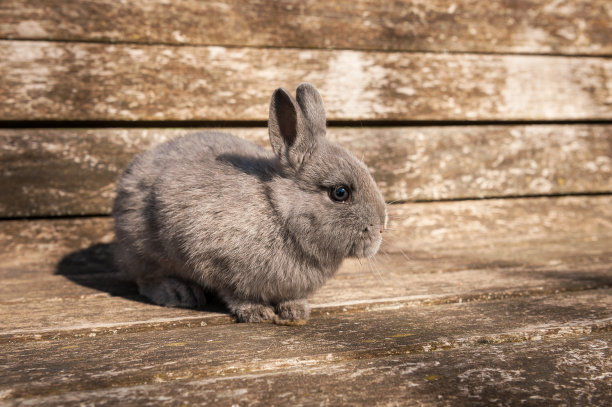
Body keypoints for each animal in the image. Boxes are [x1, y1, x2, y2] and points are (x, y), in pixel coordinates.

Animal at [112, 83, 384, 326]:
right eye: (340, 192)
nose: (381, 229)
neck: (277, 209)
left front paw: (295, 311)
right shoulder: (213, 260)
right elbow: (234, 293)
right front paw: (257, 313)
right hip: (141, 248)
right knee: (145, 278)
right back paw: (179, 293)